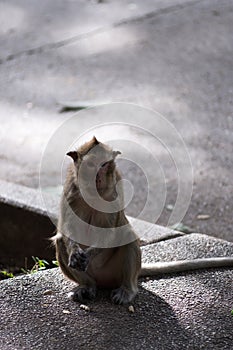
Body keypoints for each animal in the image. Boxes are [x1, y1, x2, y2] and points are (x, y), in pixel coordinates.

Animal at [53, 137, 233, 304]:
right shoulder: (70, 190)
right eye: (91, 165)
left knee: (127, 236)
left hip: (114, 272)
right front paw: (76, 254)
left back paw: (127, 290)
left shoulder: (115, 191)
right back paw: (87, 286)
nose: (98, 178)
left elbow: (111, 230)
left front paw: (88, 255)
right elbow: (67, 228)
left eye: (104, 165)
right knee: (61, 241)